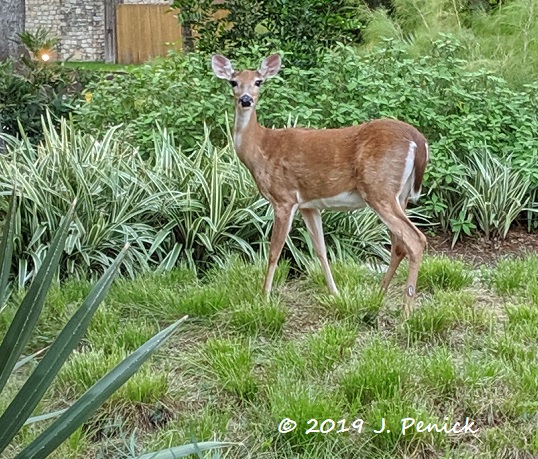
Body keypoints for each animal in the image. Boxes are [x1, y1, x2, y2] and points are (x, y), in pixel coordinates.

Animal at [209, 54, 428, 318]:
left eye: (258, 81)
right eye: (233, 82)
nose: (245, 99)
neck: (261, 148)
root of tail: (419, 140)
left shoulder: (284, 198)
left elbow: (274, 250)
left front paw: (264, 298)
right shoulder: (308, 204)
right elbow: (321, 249)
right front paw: (335, 293)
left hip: (379, 189)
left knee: (415, 239)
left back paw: (406, 312)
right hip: (399, 195)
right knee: (398, 244)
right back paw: (377, 297)